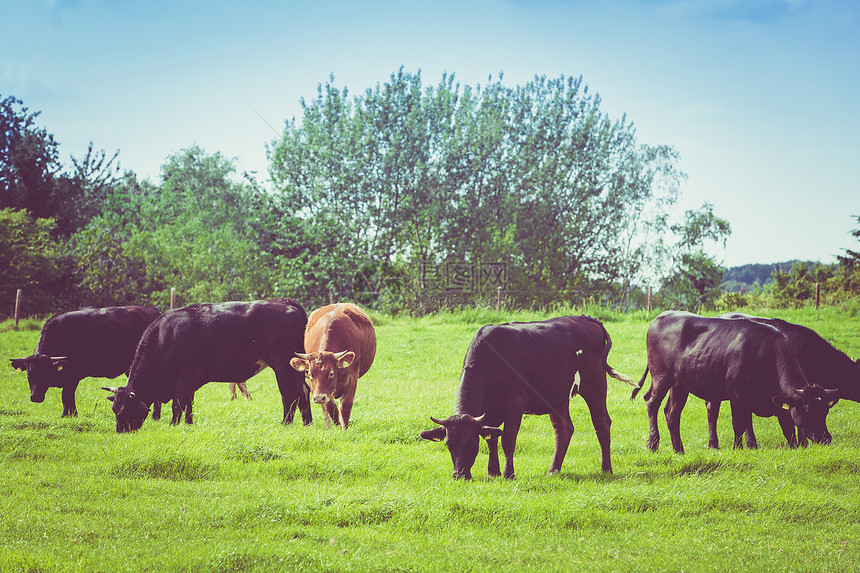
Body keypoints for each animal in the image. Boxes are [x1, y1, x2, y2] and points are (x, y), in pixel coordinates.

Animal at [9, 304, 161, 416]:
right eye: (29, 376)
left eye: (44, 374)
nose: (35, 397)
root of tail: (153, 310)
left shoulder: (73, 375)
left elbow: (66, 395)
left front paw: (69, 415)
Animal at [103, 298, 312, 432]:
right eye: (114, 409)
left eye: (125, 410)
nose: (121, 432)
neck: (165, 337)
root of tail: (283, 301)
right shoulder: (188, 383)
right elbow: (189, 404)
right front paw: (188, 424)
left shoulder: (186, 376)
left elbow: (178, 404)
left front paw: (173, 425)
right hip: (295, 367)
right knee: (304, 391)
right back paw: (307, 423)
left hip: (282, 365)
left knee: (289, 394)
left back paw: (285, 423)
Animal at [420, 318, 636, 478]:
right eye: (448, 444)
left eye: (471, 443)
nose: (459, 475)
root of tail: (587, 319)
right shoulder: (490, 411)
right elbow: (492, 438)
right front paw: (493, 472)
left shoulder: (515, 404)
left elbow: (507, 439)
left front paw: (508, 474)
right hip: (557, 397)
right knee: (564, 429)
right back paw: (553, 470)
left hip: (595, 385)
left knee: (602, 424)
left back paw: (606, 469)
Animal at [632, 310, 840, 454]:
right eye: (809, 410)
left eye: (825, 411)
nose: (826, 438)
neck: (766, 355)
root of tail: (662, 315)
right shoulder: (737, 395)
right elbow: (739, 423)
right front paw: (738, 448)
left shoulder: (777, 401)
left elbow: (787, 427)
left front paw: (792, 447)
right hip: (661, 377)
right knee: (652, 403)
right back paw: (652, 444)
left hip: (679, 385)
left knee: (672, 413)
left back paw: (679, 450)